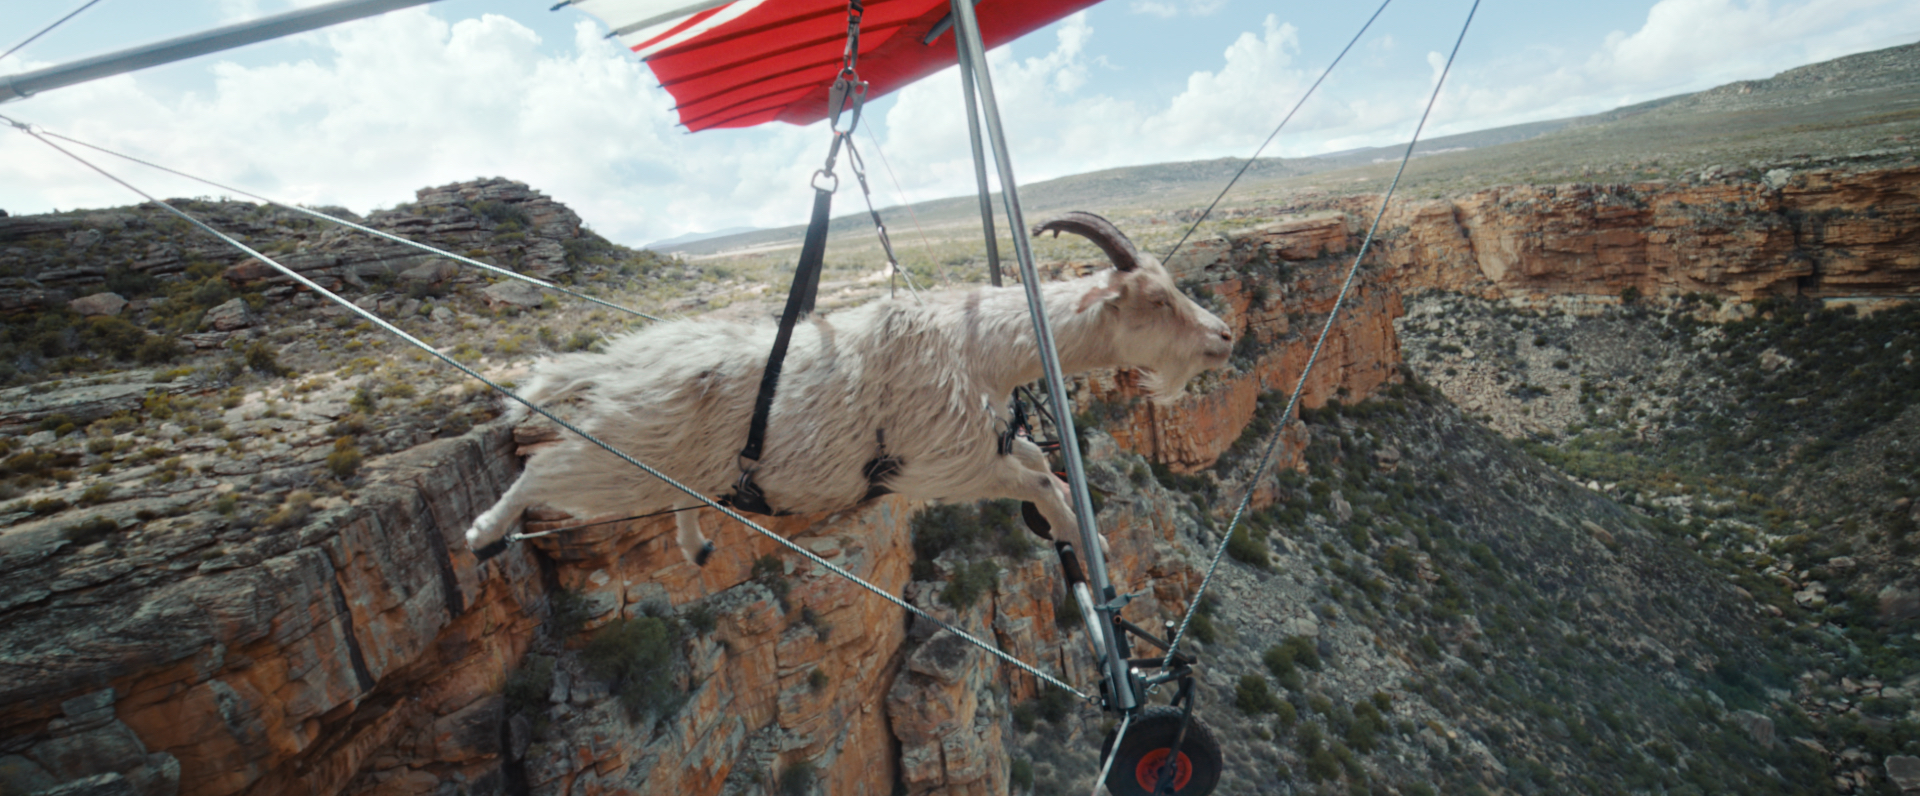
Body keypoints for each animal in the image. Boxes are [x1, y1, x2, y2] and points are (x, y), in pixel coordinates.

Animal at [465, 211, 1233, 564]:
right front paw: (1087, 538)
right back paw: (481, 531)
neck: (975, 348)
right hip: (618, 453)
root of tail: (610, 365)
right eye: (1155, 300)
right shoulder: (942, 464)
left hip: (653, 460)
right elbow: (1038, 478)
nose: (1224, 336)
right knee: (545, 469)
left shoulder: (984, 442)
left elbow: (1040, 465)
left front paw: (1085, 534)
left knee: (661, 491)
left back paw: (697, 546)